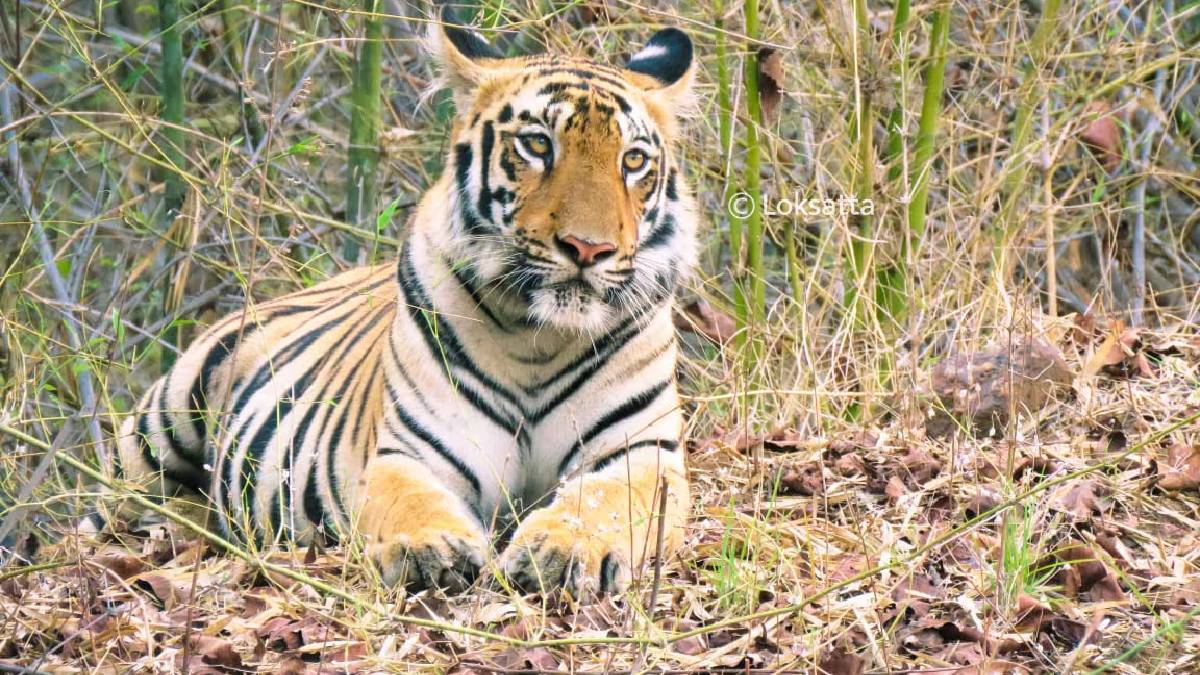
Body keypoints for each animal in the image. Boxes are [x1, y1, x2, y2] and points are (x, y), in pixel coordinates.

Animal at [102, 9, 699, 597]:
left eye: (633, 160)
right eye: (536, 146)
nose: (588, 248)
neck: (541, 337)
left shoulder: (640, 452)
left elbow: (601, 503)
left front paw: (562, 550)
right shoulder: (409, 451)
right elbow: (410, 502)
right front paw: (431, 550)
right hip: (160, 421)